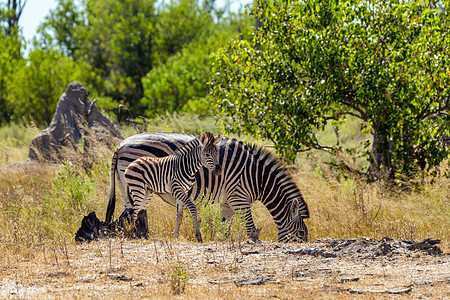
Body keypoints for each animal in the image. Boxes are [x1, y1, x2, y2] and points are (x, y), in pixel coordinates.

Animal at [105, 132, 310, 243]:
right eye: (301, 233)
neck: (256, 177)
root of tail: (120, 145)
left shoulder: (228, 203)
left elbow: (224, 227)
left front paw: (224, 241)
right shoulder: (239, 198)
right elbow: (250, 227)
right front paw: (252, 241)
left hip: (129, 188)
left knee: (128, 214)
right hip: (139, 187)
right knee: (131, 214)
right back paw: (135, 236)